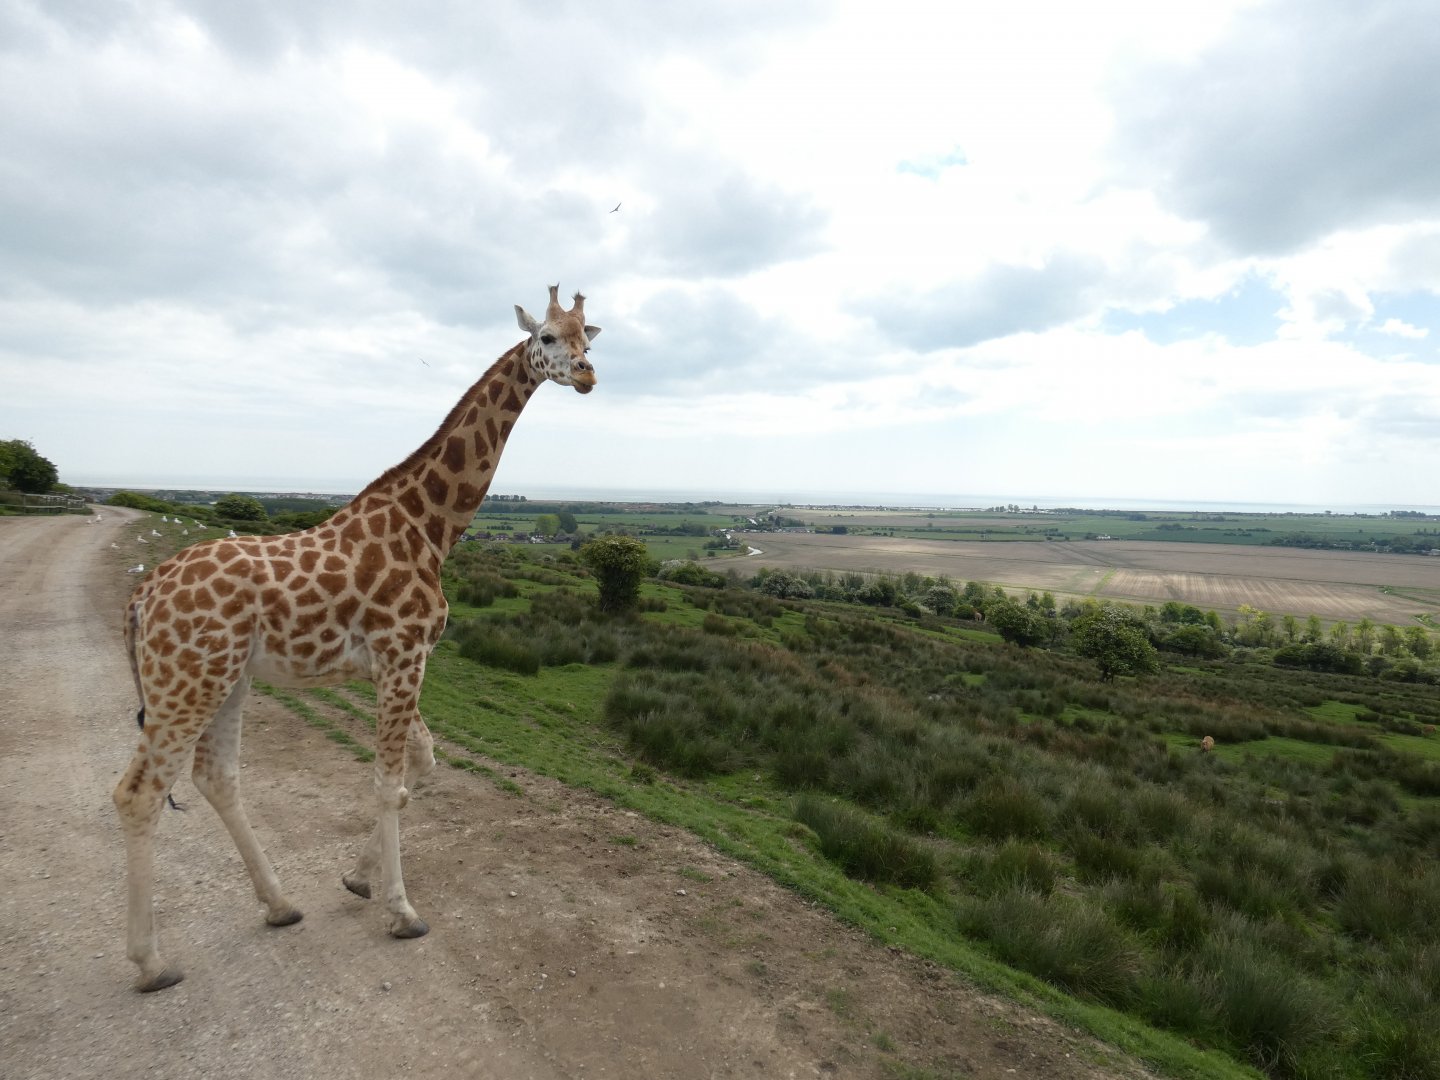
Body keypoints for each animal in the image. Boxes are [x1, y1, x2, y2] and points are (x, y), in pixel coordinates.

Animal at [113, 285, 599, 992]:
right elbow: (386, 781)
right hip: (187, 681)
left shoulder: (400, 662)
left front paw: (359, 879)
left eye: (590, 337)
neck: (431, 527)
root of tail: (141, 597)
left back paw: (280, 905)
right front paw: (402, 912)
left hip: (227, 678)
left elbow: (419, 767)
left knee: (216, 776)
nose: (588, 375)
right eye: (547, 339)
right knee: (139, 794)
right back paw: (151, 962)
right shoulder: (403, 655)